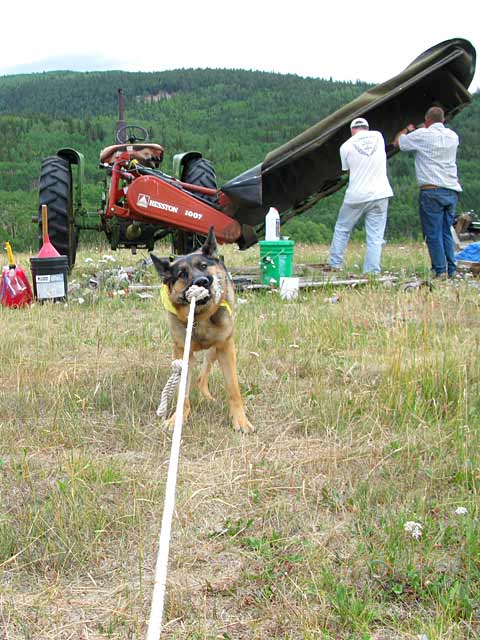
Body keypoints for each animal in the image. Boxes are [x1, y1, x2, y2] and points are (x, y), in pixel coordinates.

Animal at [151, 228, 255, 432]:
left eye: (204, 266)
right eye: (182, 274)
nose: (202, 281)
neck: (199, 318)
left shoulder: (226, 348)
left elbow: (233, 388)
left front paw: (240, 420)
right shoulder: (183, 353)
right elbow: (182, 392)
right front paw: (177, 419)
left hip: (215, 350)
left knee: (203, 375)